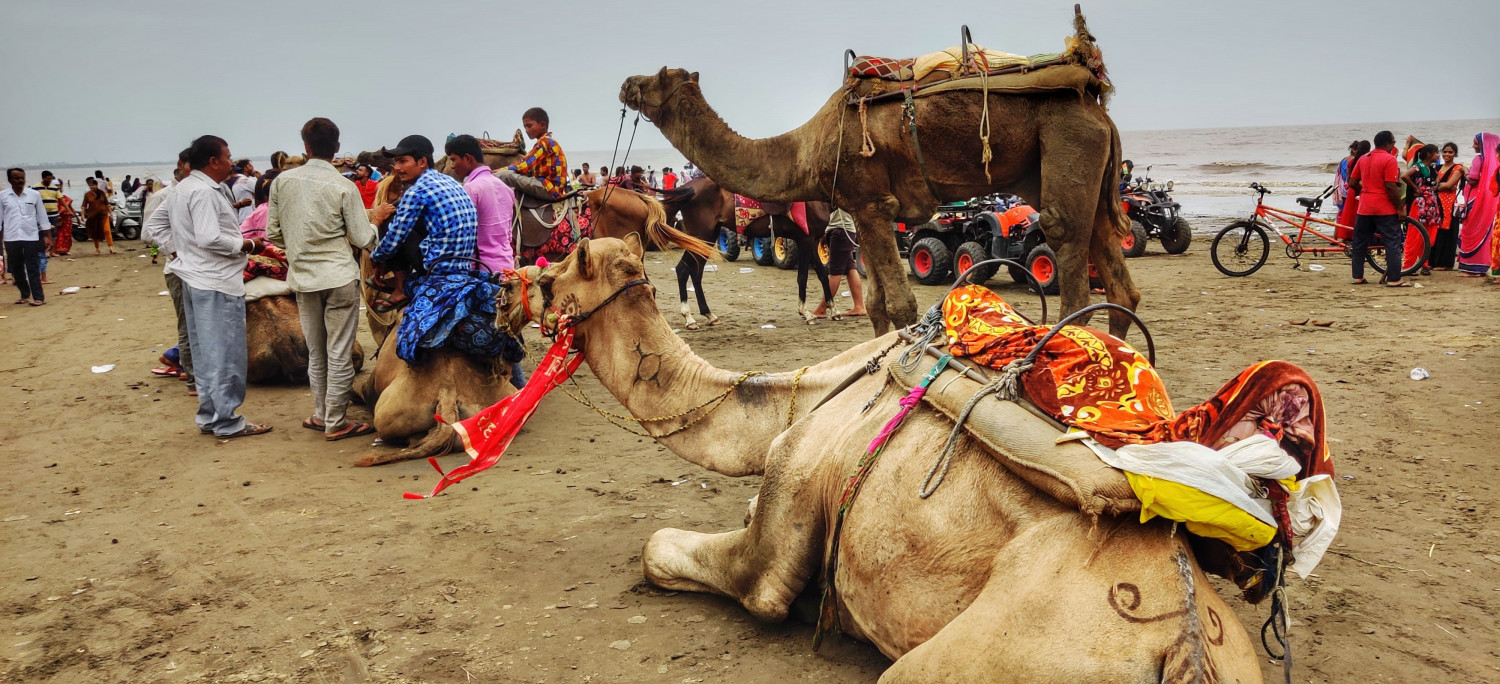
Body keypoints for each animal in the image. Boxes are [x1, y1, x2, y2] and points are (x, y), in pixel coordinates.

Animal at [516, 238, 1266, 681]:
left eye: (556, 272)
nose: (515, 284)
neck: (800, 399)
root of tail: (1181, 641)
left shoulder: (787, 497)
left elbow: (672, 553)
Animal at [621, 8, 1134, 339]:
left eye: (656, 77)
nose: (626, 83)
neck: (806, 147)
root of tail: (1095, 99)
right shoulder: (862, 208)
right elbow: (876, 304)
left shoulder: (870, 201)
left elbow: (902, 304)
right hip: (1063, 166)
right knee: (1117, 277)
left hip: (1067, 139)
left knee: (1067, 248)